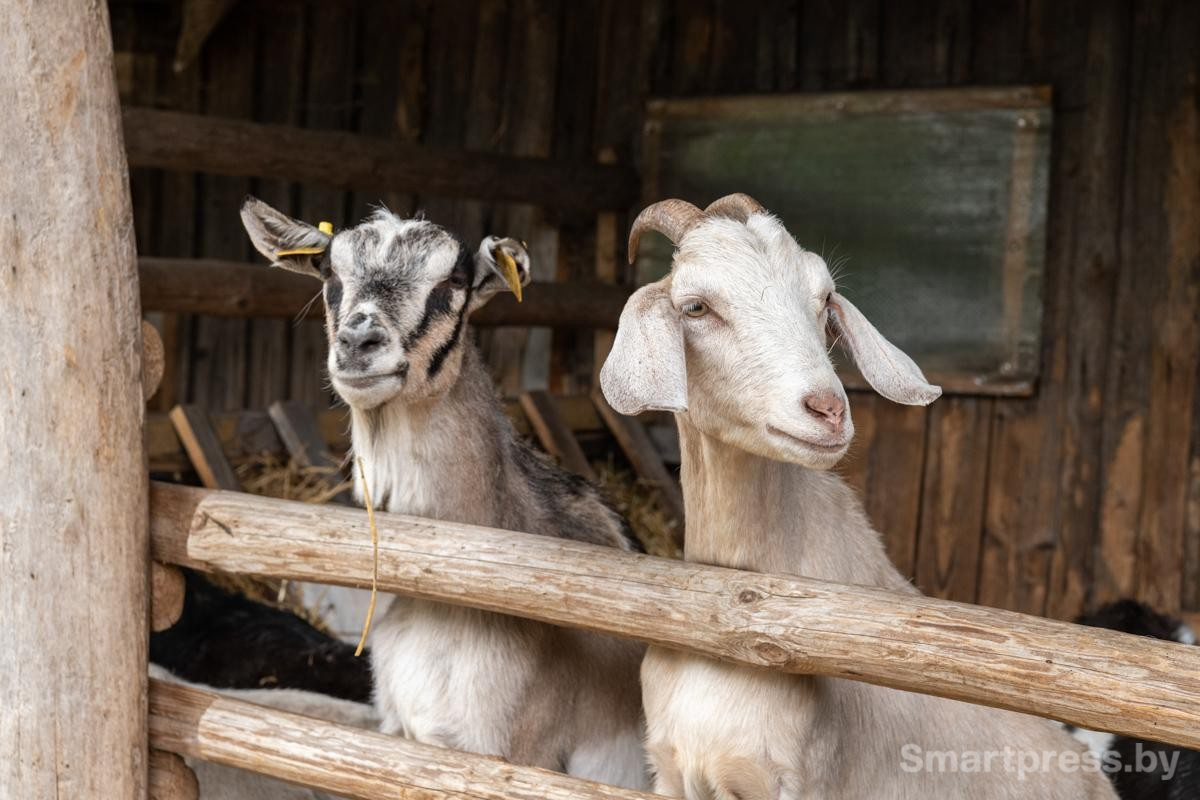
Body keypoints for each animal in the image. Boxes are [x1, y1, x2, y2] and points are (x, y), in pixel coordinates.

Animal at [240, 198, 649, 790]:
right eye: (330, 274)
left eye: (453, 280)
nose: (359, 343)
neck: (445, 603)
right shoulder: (395, 726)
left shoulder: (505, 752)